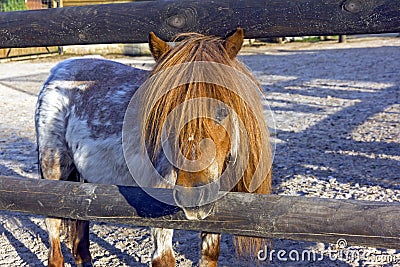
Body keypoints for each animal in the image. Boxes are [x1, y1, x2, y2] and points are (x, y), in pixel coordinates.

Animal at [35, 28, 272, 267]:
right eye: (165, 111)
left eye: (223, 111)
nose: (193, 196)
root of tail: (58, 69)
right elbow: (164, 259)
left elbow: (210, 253)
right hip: (53, 170)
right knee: (54, 241)